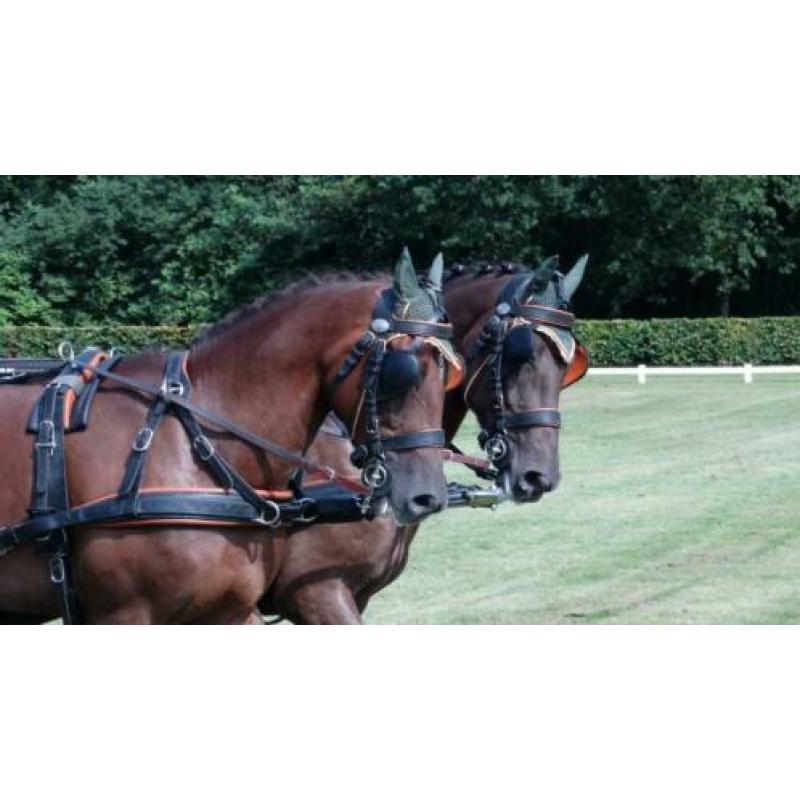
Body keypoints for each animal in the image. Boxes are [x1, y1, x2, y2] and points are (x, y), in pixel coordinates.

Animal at [0, 250, 458, 623]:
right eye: (403, 371)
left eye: (448, 372)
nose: (428, 496)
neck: (200, 444)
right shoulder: (123, 614)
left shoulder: (230, 609)